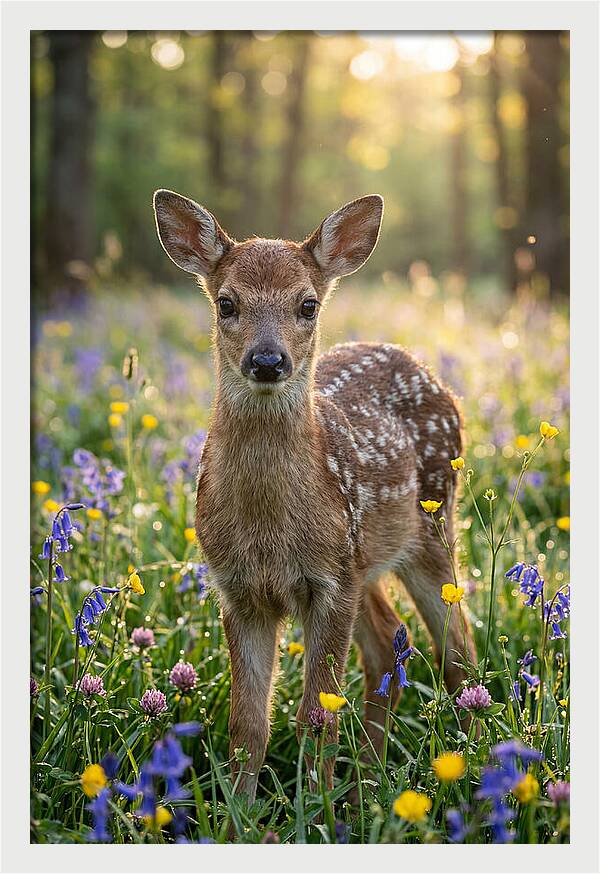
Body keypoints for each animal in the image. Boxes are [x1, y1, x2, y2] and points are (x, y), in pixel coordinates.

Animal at [152, 189, 477, 806]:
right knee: (388, 644)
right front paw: (239, 816)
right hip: (365, 559)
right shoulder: (238, 588)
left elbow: (315, 715)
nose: (267, 361)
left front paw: (316, 811)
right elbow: (248, 724)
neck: (268, 530)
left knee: (458, 653)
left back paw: (470, 774)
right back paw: (369, 783)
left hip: (429, 526)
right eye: (226, 303)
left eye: (307, 305)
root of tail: (429, 372)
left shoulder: (328, 582)